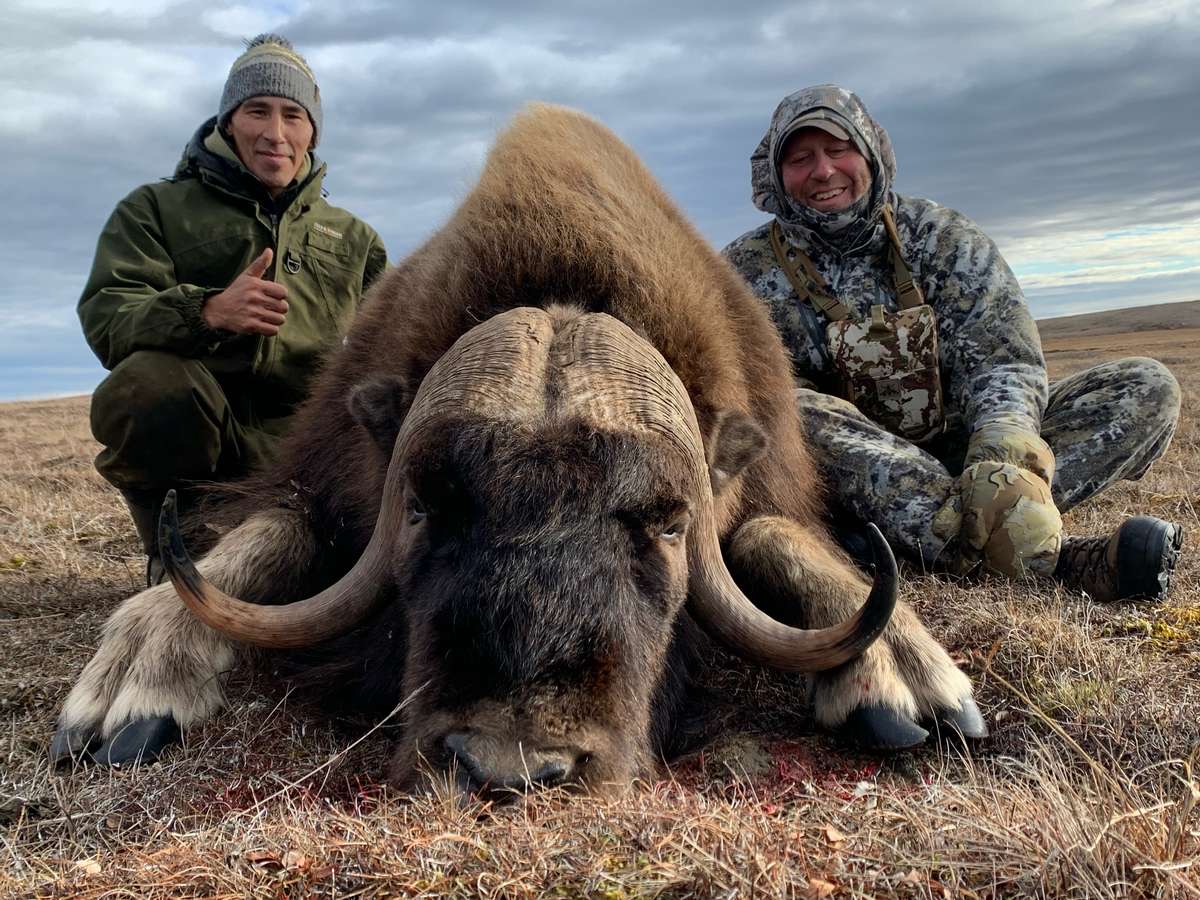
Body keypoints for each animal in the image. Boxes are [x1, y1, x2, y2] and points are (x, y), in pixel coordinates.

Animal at [52, 105, 981, 797]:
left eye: (669, 523)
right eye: (423, 506)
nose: (507, 766)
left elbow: (769, 532)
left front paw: (902, 671)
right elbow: (268, 536)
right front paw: (133, 677)